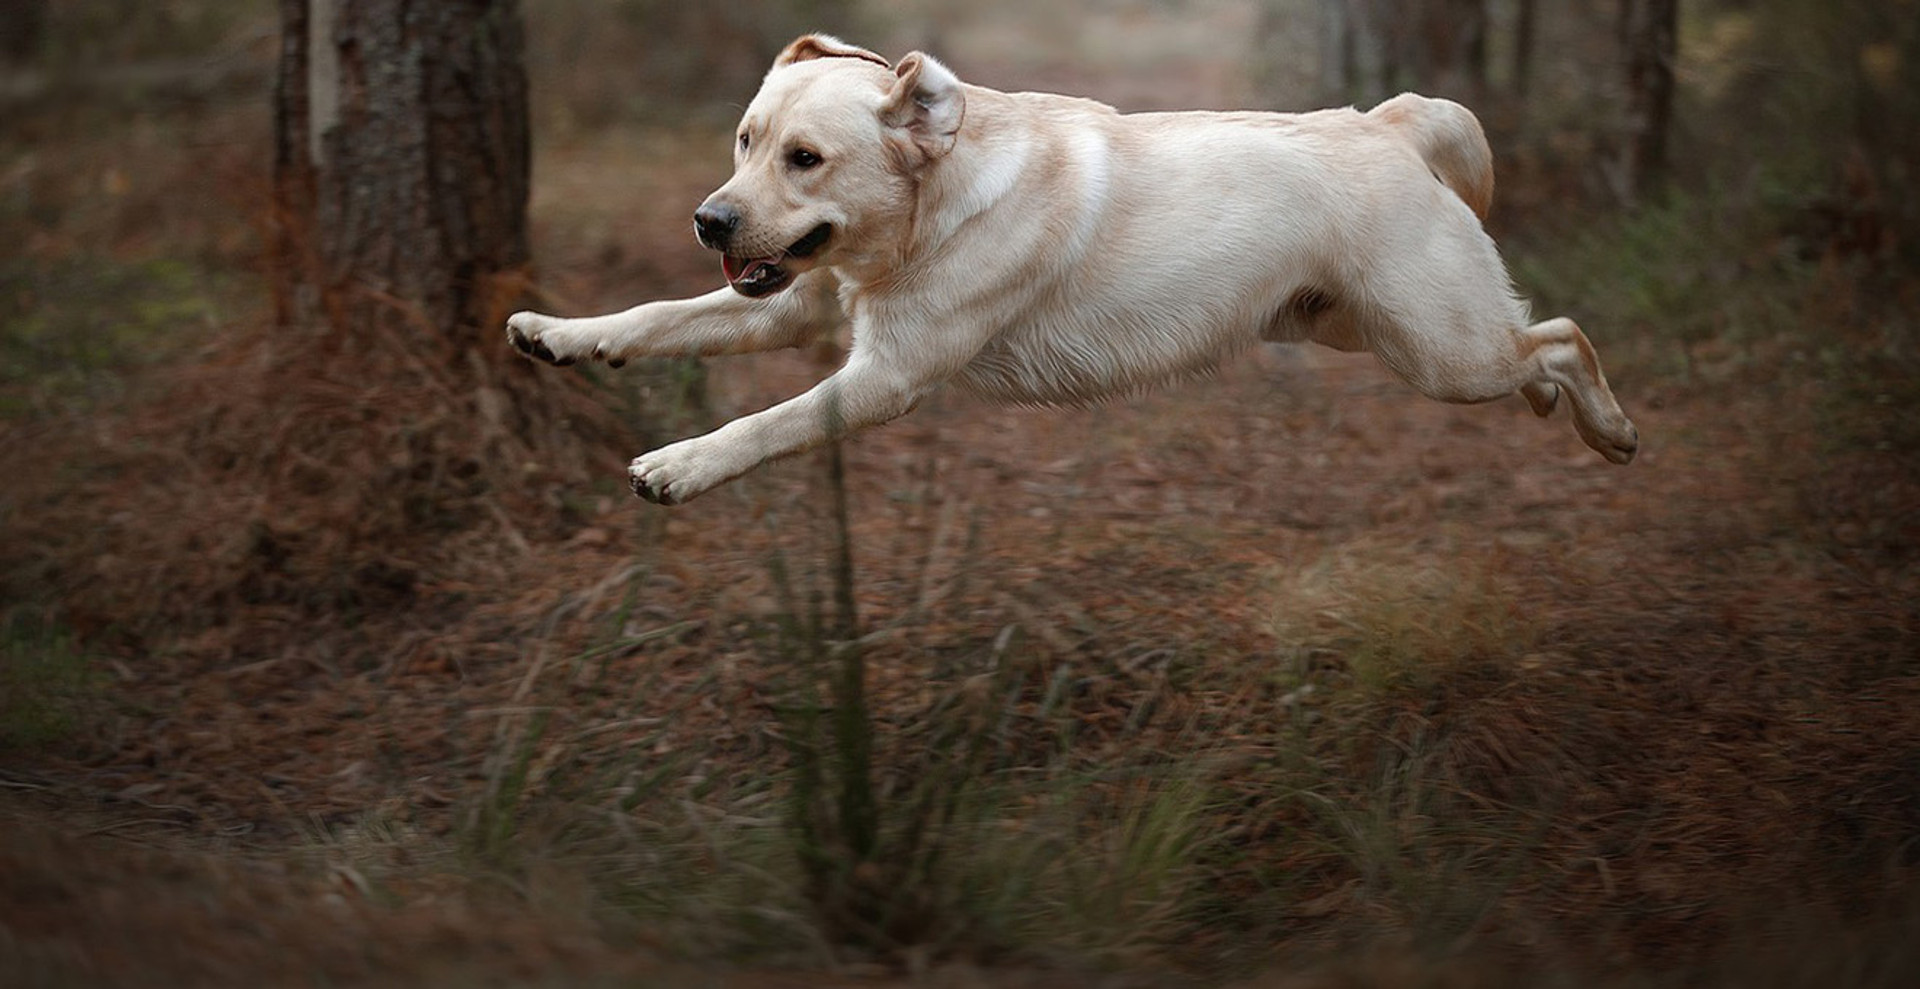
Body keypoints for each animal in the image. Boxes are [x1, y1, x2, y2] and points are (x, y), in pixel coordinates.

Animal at [506, 35, 1635, 506]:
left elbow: (763, 423)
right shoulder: (799, 308)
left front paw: (678, 464)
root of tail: (1387, 120)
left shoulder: (884, 378)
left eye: (805, 158)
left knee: (1562, 336)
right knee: (1535, 345)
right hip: (1356, 328)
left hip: (1438, 349)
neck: (929, 212)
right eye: (744, 141)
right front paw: (557, 334)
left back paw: (1610, 429)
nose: (708, 221)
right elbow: (659, 314)